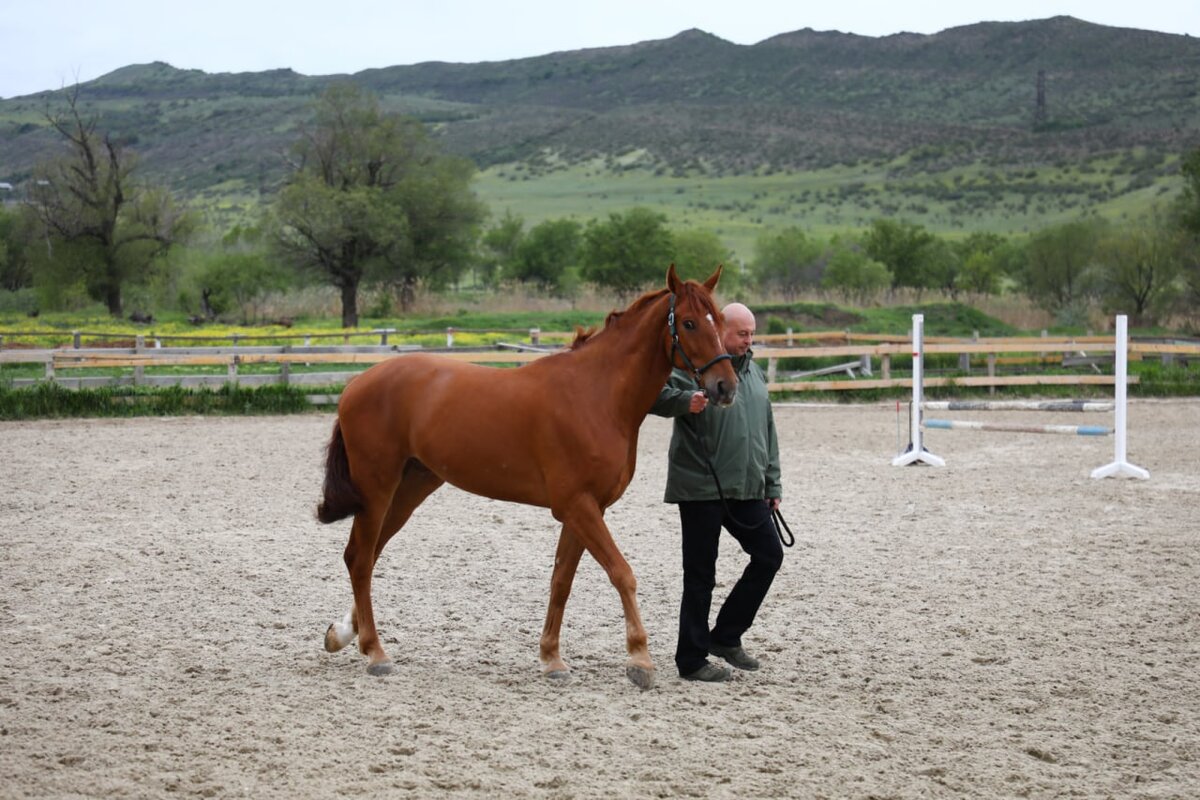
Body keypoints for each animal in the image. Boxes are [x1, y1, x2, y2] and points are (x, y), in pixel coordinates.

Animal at [314, 266, 734, 690]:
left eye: (720, 321)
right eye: (689, 322)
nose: (725, 387)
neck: (595, 395)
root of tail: (356, 383)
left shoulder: (585, 509)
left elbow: (561, 581)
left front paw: (552, 658)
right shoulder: (578, 506)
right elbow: (622, 573)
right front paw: (640, 660)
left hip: (411, 488)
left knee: (366, 555)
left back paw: (342, 634)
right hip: (377, 489)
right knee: (360, 558)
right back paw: (375, 653)